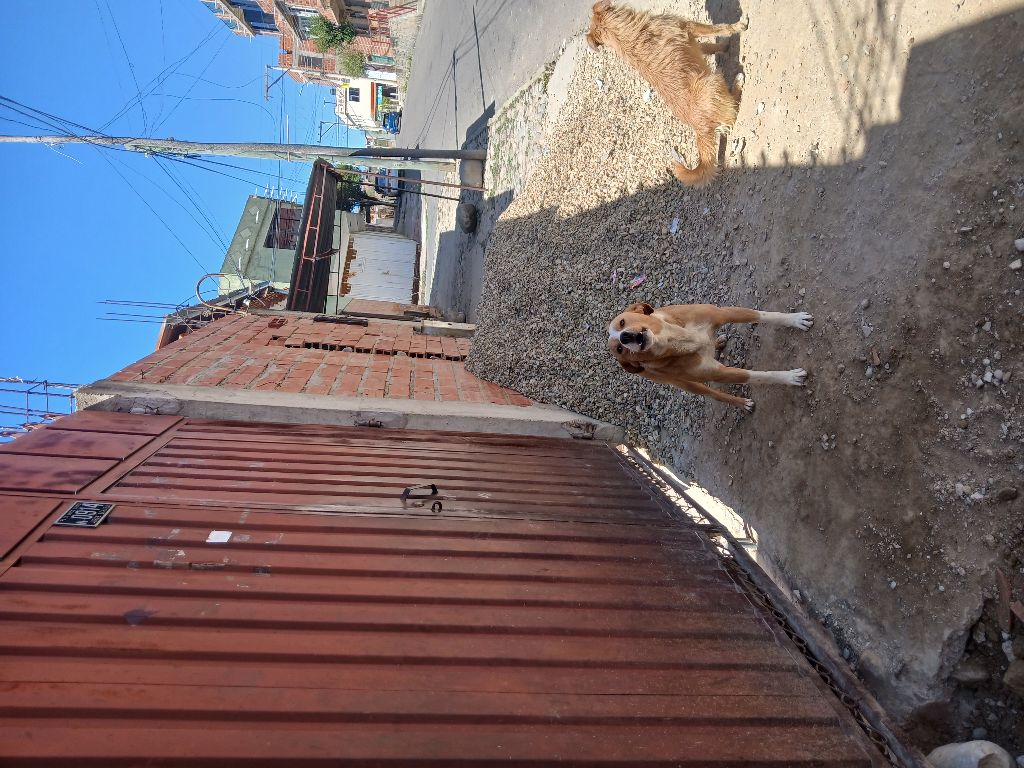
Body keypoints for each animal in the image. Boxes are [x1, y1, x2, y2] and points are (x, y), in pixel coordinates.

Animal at [586, 0, 746, 186]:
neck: (621, 35)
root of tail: (701, 128)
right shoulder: (688, 27)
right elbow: (718, 28)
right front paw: (738, 27)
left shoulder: (690, 39)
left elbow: (708, 47)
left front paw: (723, 47)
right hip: (711, 82)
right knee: (734, 107)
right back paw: (738, 82)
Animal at [607, 303, 812, 411]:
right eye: (619, 349)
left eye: (622, 322)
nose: (625, 338)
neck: (679, 339)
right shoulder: (718, 373)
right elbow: (758, 376)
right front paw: (790, 377)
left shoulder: (722, 313)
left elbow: (763, 315)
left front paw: (796, 319)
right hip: (688, 385)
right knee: (716, 395)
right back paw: (741, 403)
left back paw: (718, 342)